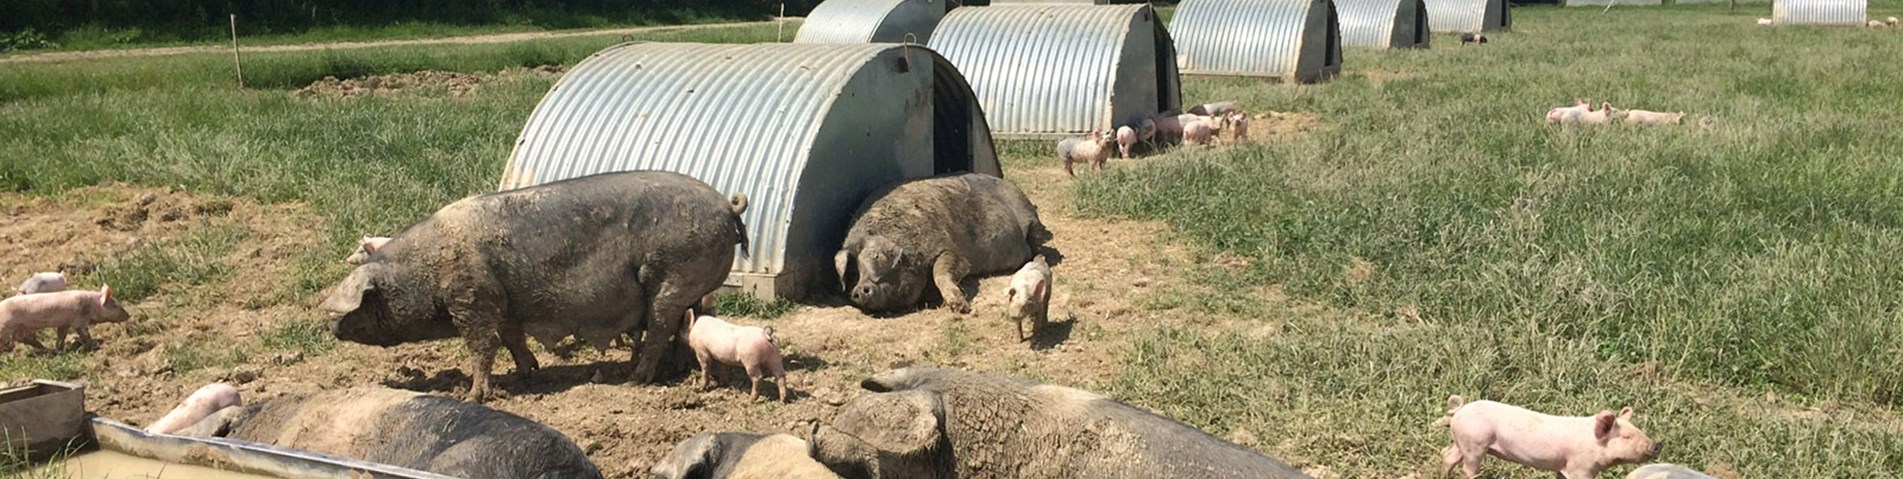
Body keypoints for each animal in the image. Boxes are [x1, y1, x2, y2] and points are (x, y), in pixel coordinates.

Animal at [0, 285, 130, 353]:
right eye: (115, 305)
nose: (129, 315)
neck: (91, 305)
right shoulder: (79, 320)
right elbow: (84, 334)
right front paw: (92, 346)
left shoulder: (64, 323)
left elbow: (61, 336)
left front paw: (59, 349)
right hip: (6, 327)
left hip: (19, 327)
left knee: (21, 338)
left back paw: (47, 350)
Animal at [318, 171, 750, 402]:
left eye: (356, 304)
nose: (326, 322)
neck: (422, 271)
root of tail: (726, 206)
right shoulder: (505, 303)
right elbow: (513, 339)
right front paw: (528, 373)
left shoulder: (473, 298)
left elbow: (483, 346)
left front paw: (474, 396)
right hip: (690, 287)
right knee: (687, 325)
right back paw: (675, 371)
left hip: (673, 278)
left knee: (662, 327)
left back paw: (636, 377)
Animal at [835, 174, 1050, 315]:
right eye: (853, 274)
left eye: (874, 260)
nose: (858, 290)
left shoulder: (951, 249)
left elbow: (941, 270)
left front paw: (960, 308)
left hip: (1031, 219)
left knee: (1037, 244)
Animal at [1436, 395, 1661, 479]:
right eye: (1626, 437)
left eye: (1639, 430)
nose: (1657, 444)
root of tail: (1461, 410)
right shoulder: (1581, 468)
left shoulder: (1563, 466)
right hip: (1475, 444)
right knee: (1469, 468)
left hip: (1462, 441)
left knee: (1448, 456)